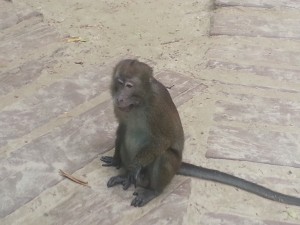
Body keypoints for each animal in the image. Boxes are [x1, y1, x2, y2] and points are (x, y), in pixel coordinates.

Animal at [101, 59, 300, 207]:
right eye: (119, 84)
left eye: (129, 85)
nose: (120, 98)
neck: (137, 104)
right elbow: (122, 128)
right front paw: (117, 160)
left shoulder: (157, 106)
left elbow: (163, 140)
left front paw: (134, 167)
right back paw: (123, 174)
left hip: (168, 167)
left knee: (165, 156)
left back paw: (152, 190)